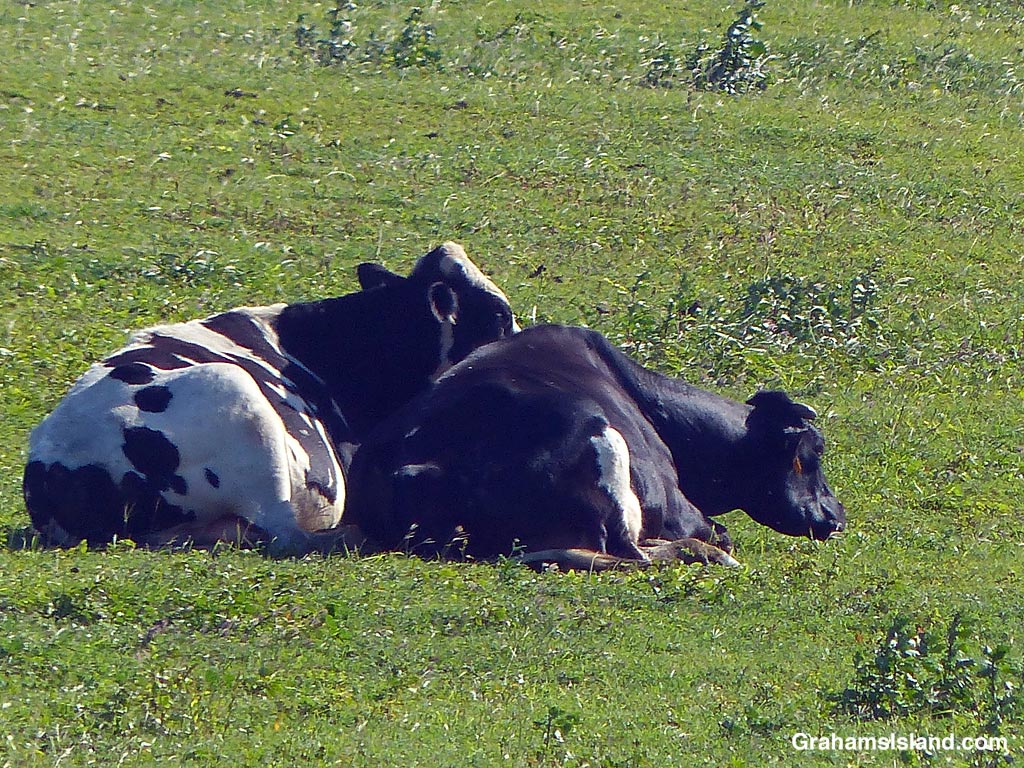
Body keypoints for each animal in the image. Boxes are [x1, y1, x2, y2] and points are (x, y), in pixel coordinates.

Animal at [344, 324, 845, 570]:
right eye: (812, 455)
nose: (837, 516)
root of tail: (409, 467)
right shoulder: (679, 506)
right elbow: (717, 530)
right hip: (601, 441)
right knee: (632, 553)